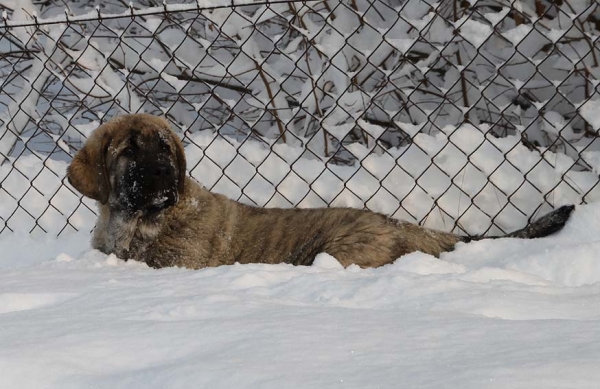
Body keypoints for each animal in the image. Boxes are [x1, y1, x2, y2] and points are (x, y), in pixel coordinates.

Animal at [67, 113, 576, 268]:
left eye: (166, 149)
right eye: (130, 150)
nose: (165, 177)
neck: (137, 223)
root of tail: (408, 226)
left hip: (334, 250)